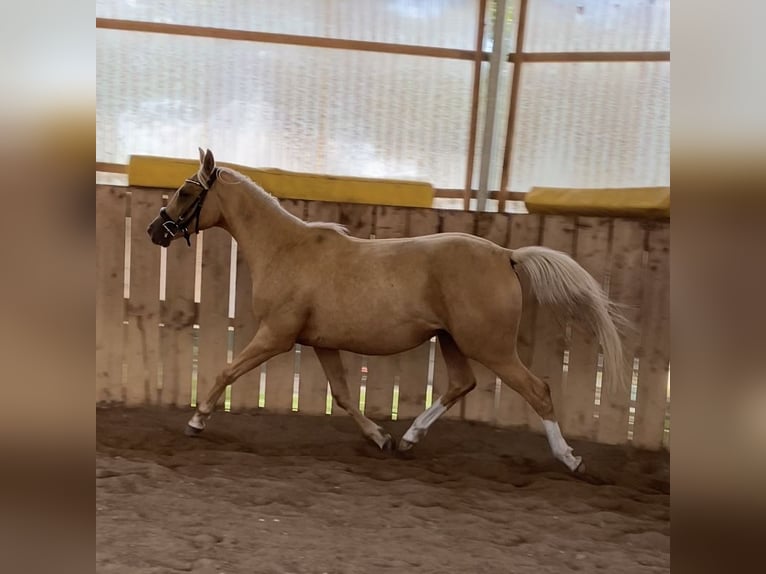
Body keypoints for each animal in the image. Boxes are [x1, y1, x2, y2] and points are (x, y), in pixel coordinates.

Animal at [147, 148, 628, 472]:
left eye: (186, 191)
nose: (155, 230)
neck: (285, 249)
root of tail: (506, 255)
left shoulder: (276, 335)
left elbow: (226, 371)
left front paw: (196, 421)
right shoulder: (320, 343)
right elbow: (343, 395)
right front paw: (380, 437)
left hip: (490, 347)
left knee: (538, 390)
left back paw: (569, 458)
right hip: (452, 340)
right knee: (462, 383)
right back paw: (410, 438)